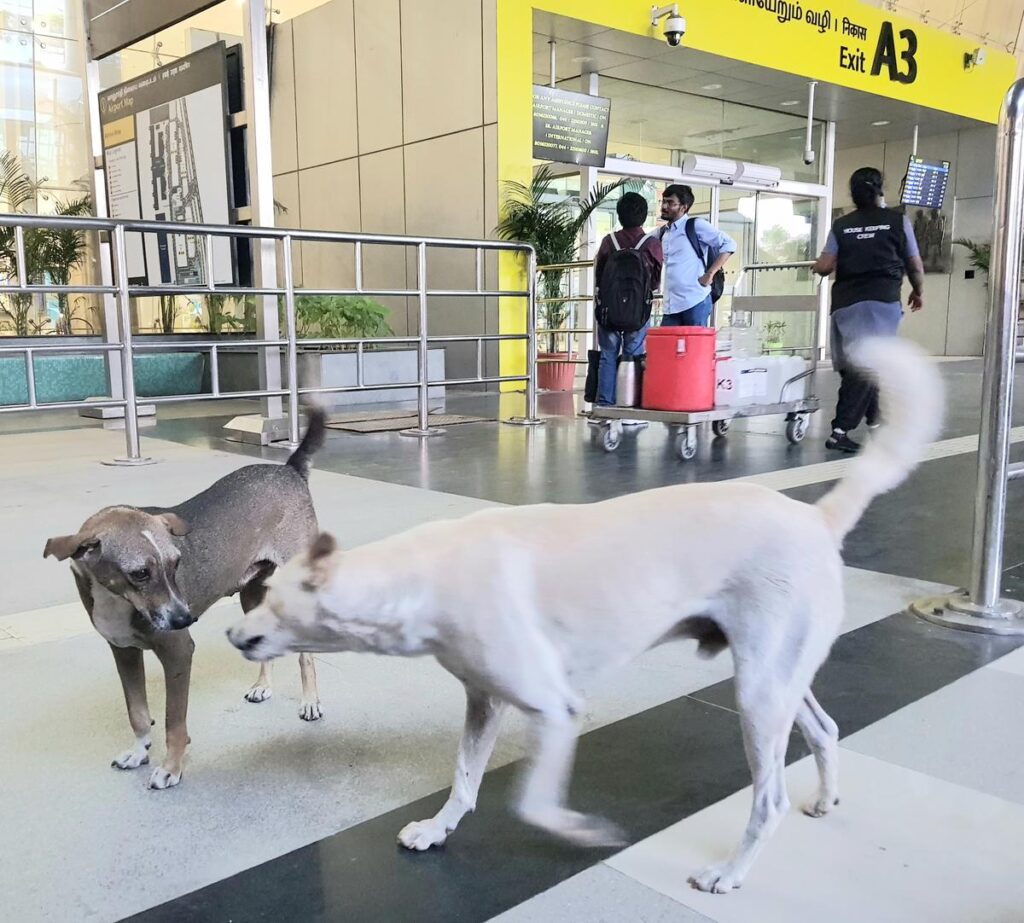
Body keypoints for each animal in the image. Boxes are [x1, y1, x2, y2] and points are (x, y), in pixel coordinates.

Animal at [41, 411, 323, 790]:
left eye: (176, 563)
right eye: (139, 573)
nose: (185, 619)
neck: (116, 599)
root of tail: (289, 469)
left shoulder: (178, 653)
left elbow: (174, 723)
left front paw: (170, 768)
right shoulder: (123, 652)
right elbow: (137, 712)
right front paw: (139, 752)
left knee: (306, 653)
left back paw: (310, 702)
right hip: (251, 594)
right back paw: (262, 686)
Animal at [230, 338, 942, 893]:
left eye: (269, 601)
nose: (231, 632)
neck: (419, 575)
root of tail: (818, 518)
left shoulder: (556, 710)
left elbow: (535, 805)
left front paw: (583, 830)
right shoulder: (484, 703)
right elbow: (464, 779)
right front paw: (437, 830)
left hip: (759, 693)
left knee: (769, 798)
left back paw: (731, 873)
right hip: (778, 678)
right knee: (824, 729)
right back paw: (824, 798)